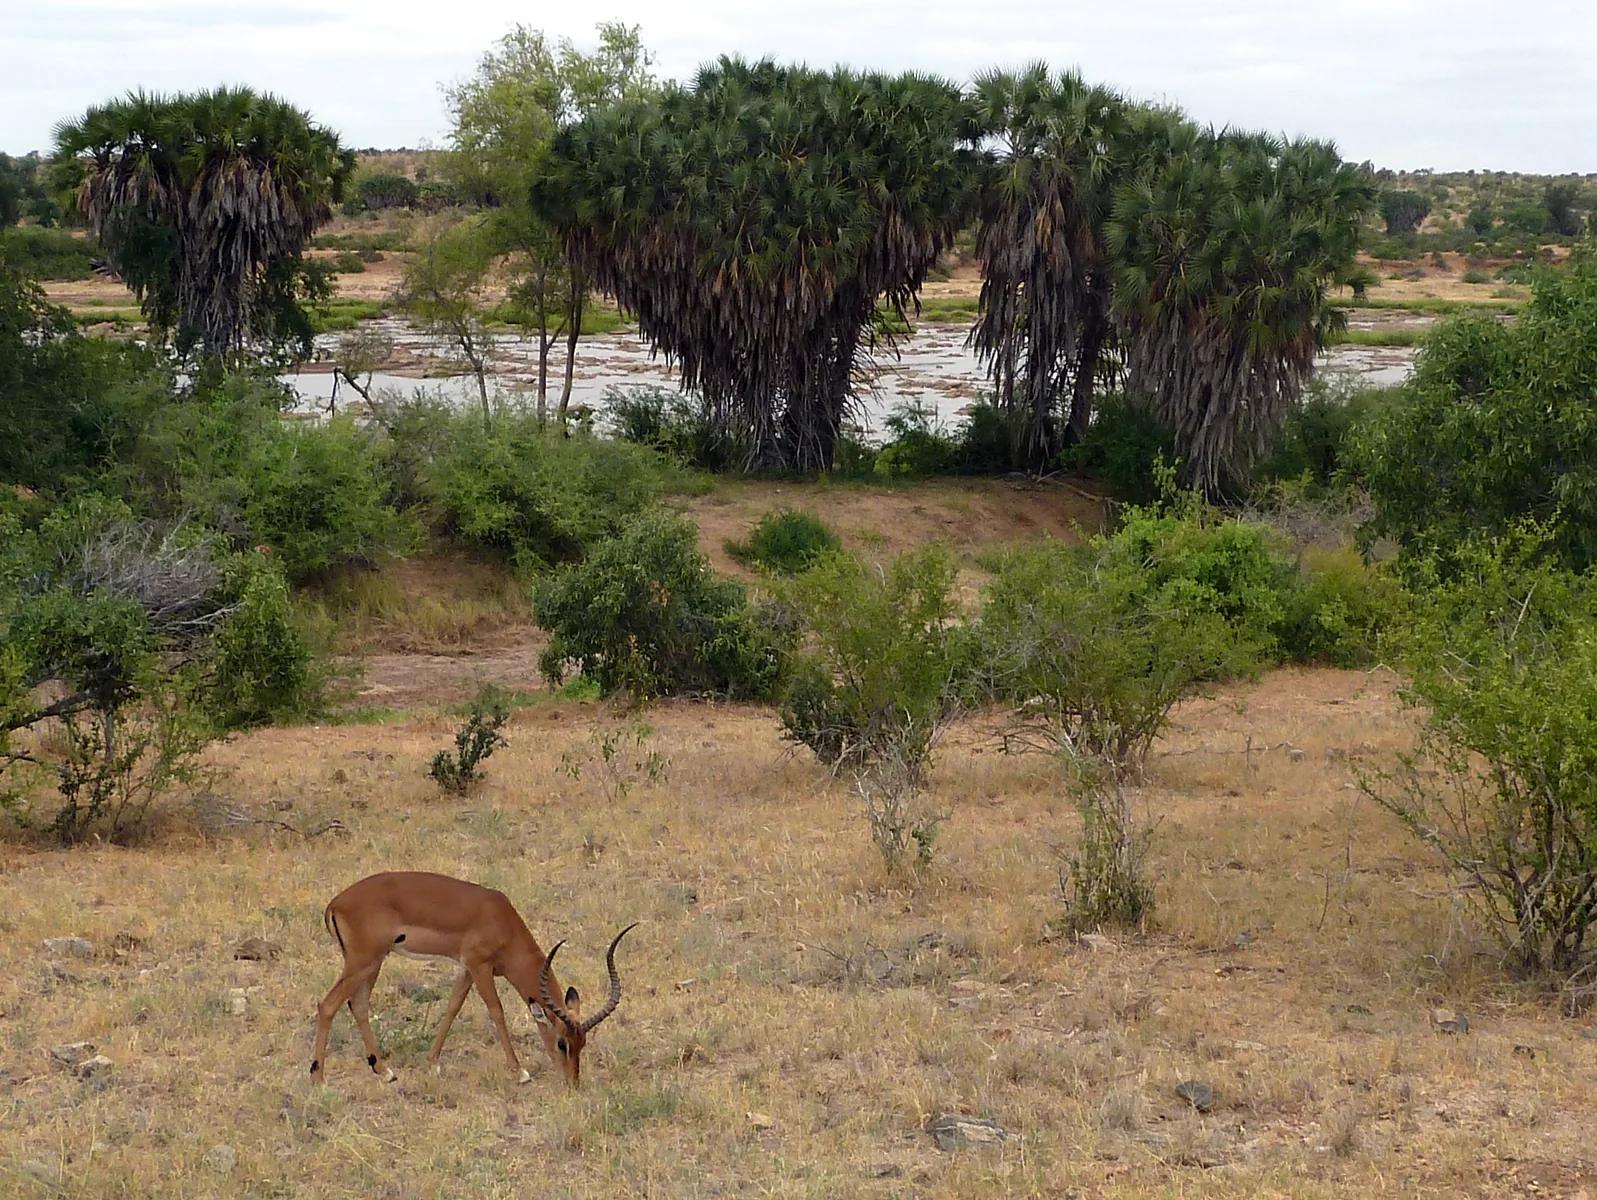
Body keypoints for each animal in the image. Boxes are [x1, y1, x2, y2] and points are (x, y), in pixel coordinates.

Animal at [310, 872, 636, 1086]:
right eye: (561, 1043)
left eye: (583, 1043)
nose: (573, 1083)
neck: (500, 919)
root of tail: (334, 904)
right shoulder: (480, 966)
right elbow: (497, 1012)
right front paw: (520, 1072)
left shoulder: (467, 968)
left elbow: (453, 1007)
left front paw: (432, 1062)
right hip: (363, 962)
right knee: (328, 1004)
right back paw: (319, 1078)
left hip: (372, 963)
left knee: (358, 1005)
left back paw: (385, 1071)